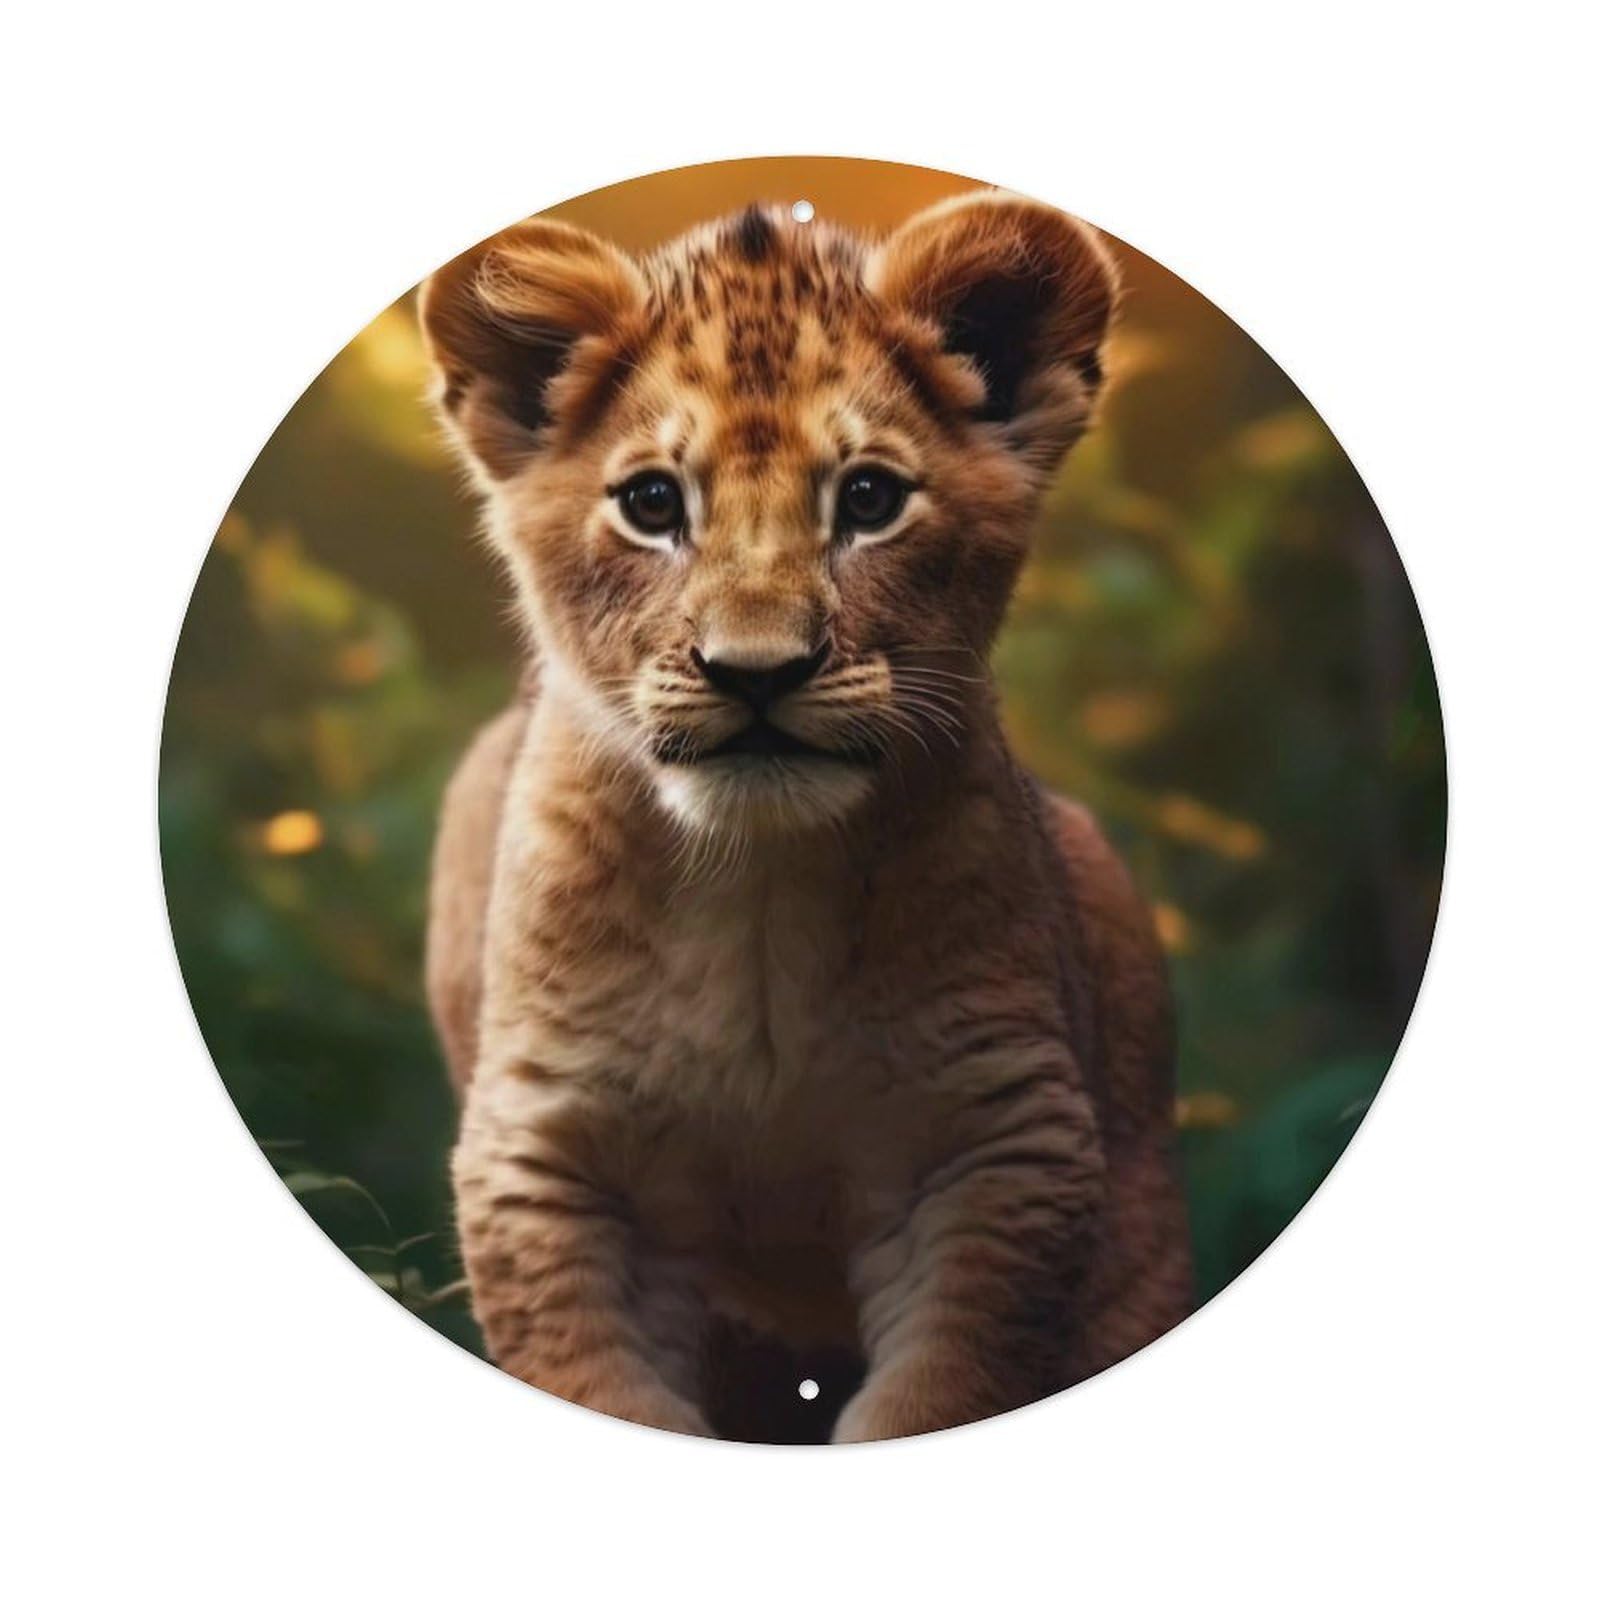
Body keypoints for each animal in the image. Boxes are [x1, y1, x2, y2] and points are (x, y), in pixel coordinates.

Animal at [419, 191, 1192, 1443]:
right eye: (651, 502)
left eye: (869, 498)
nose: (756, 671)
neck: (756, 893)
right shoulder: (554, 1159)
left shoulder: (990, 1146)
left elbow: (929, 1397)